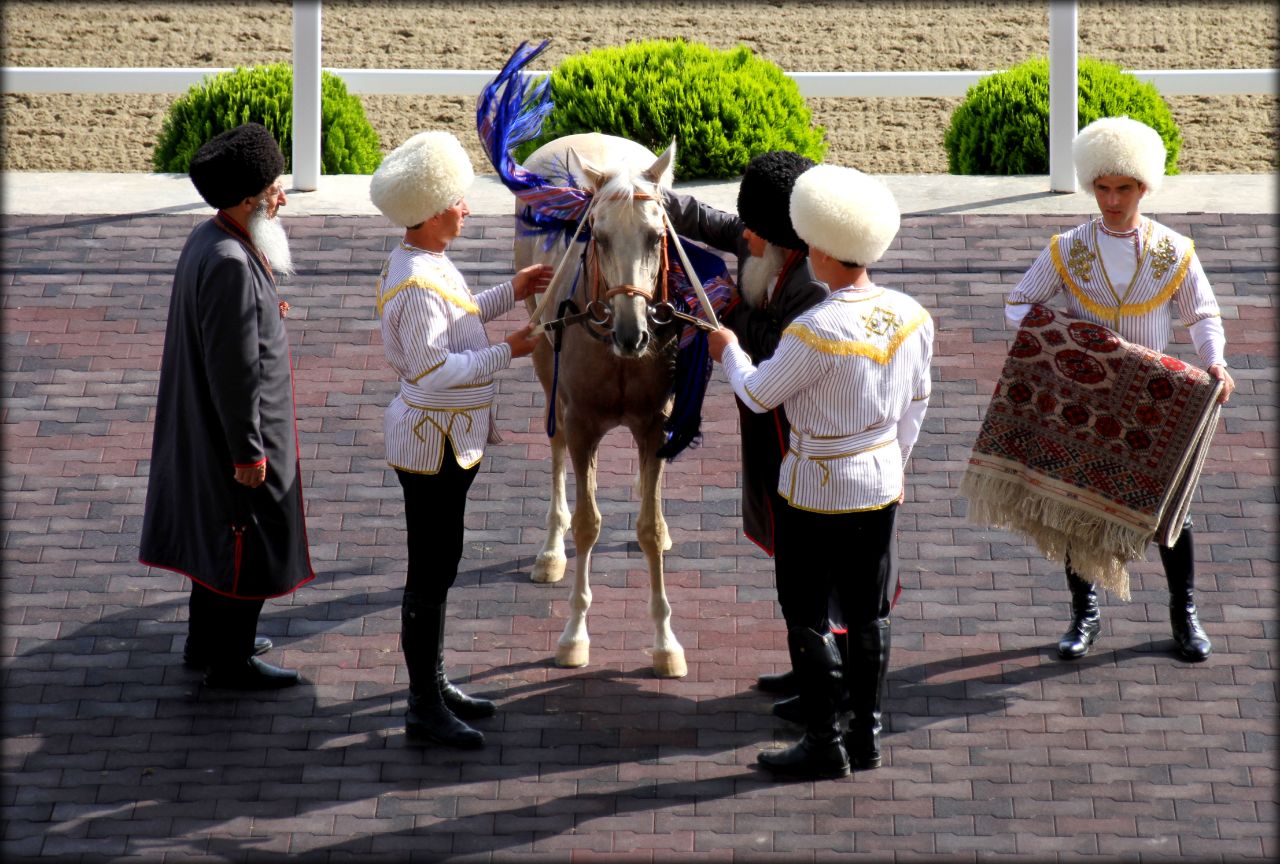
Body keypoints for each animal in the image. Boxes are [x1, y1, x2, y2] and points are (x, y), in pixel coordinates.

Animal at [512, 131, 691, 680]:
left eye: (657, 236)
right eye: (599, 235)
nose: (633, 332)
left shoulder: (654, 423)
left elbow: (648, 528)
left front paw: (666, 642)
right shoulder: (583, 423)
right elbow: (588, 525)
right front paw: (574, 635)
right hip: (546, 371)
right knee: (553, 447)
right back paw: (550, 552)